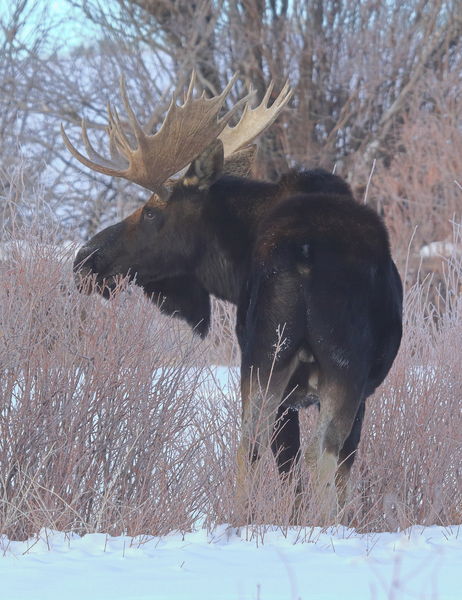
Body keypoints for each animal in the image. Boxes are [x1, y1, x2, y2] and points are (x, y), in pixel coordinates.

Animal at [63, 74, 402, 520]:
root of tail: (301, 254)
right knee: (321, 453)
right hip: (339, 365)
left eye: (151, 212)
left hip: (265, 359)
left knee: (252, 445)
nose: (85, 259)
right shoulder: (359, 388)